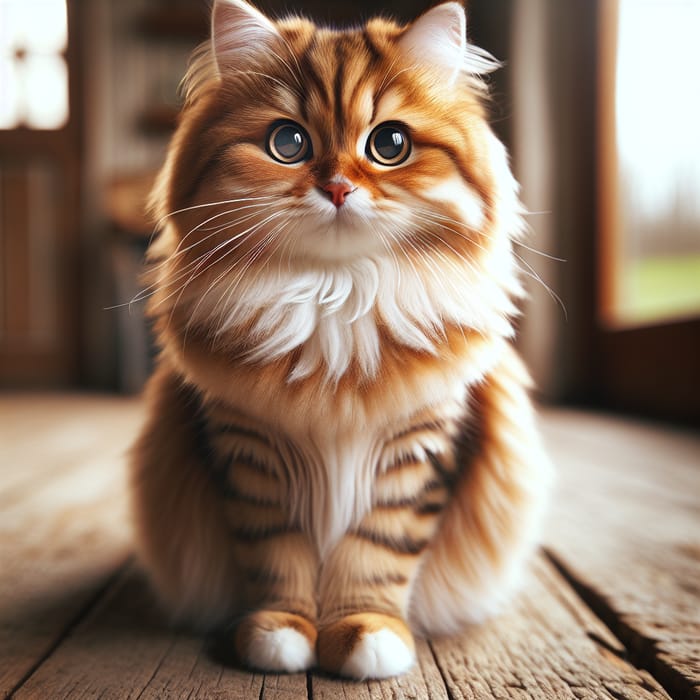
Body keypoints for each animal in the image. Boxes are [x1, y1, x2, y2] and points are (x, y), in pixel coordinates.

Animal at [130, 0, 552, 680]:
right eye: (288, 143)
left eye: (389, 144)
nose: (335, 188)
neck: (337, 299)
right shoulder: (251, 456)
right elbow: (277, 559)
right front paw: (281, 633)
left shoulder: (418, 452)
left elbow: (374, 557)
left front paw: (365, 634)